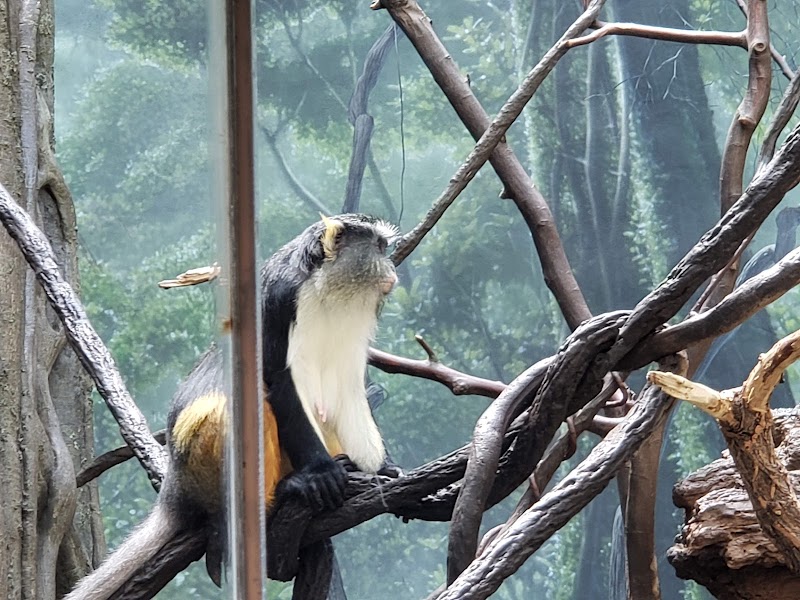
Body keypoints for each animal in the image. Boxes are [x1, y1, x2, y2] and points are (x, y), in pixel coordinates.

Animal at [64, 213, 401, 600]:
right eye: (380, 247)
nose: (392, 272)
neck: (325, 288)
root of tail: (175, 490)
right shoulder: (281, 302)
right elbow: (281, 383)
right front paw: (321, 473)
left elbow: (346, 388)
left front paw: (382, 467)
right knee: (233, 404)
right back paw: (281, 495)